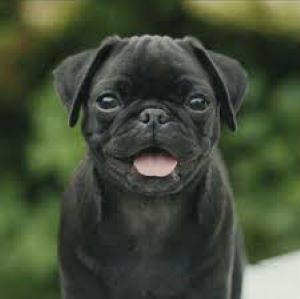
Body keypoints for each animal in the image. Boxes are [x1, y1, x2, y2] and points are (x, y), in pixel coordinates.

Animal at [52, 35, 247, 299]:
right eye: (107, 101)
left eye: (198, 102)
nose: (154, 114)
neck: (149, 212)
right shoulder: (80, 283)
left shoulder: (212, 281)